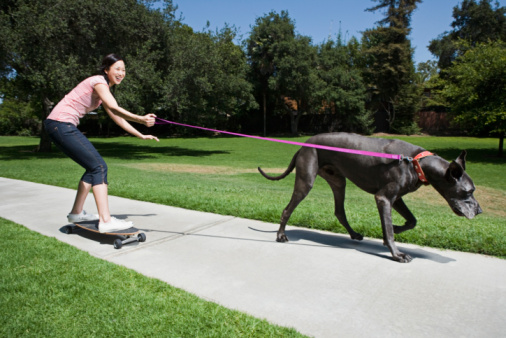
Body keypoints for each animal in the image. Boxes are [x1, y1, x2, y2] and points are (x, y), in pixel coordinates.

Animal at [258, 131, 480, 262]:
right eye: (468, 192)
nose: (479, 210)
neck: (417, 163)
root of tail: (303, 145)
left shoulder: (396, 198)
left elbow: (411, 221)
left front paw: (395, 229)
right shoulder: (383, 198)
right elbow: (389, 229)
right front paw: (396, 253)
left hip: (338, 181)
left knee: (339, 211)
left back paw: (354, 234)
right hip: (306, 181)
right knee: (287, 209)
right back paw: (281, 235)